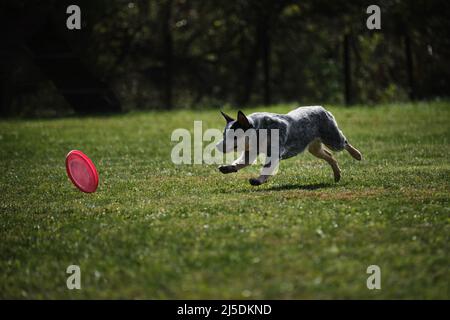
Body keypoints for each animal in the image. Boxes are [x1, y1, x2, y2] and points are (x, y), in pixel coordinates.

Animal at [215, 105, 362, 185]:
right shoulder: (250, 153)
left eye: (234, 136)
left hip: (332, 139)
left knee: (344, 143)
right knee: (330, 156)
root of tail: (322, 108)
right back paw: (337, 175)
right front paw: (228, 168)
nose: (217, 146)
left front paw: (258, 180)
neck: (259, 131)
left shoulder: (274, 153)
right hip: (314, 148)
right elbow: (239, 163)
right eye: (224, 134)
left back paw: (357, 155)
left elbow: (267, 168)